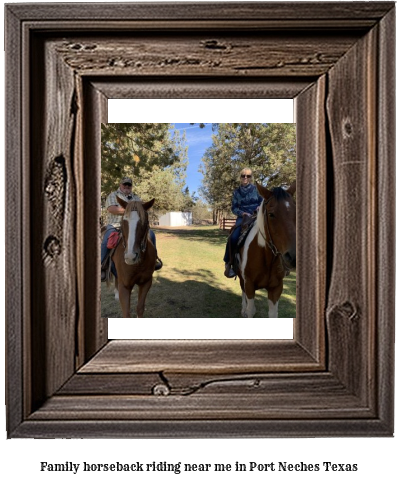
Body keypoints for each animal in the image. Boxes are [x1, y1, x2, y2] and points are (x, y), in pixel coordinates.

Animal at [238, 181, 296, 318]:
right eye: (271, 214)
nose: (293, 257)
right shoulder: (249, 285)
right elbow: (250, 309)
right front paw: (246, 310)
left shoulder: (276, 289)